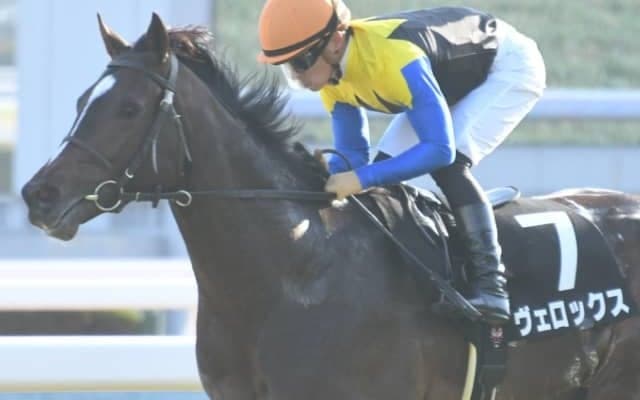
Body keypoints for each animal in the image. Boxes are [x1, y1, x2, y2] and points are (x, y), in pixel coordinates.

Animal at [21, 13, 640, 400]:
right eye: (81, 101)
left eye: (127, 108)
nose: (37, 195)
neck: (298, 269)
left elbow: (442, 152)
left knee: (454, 160)